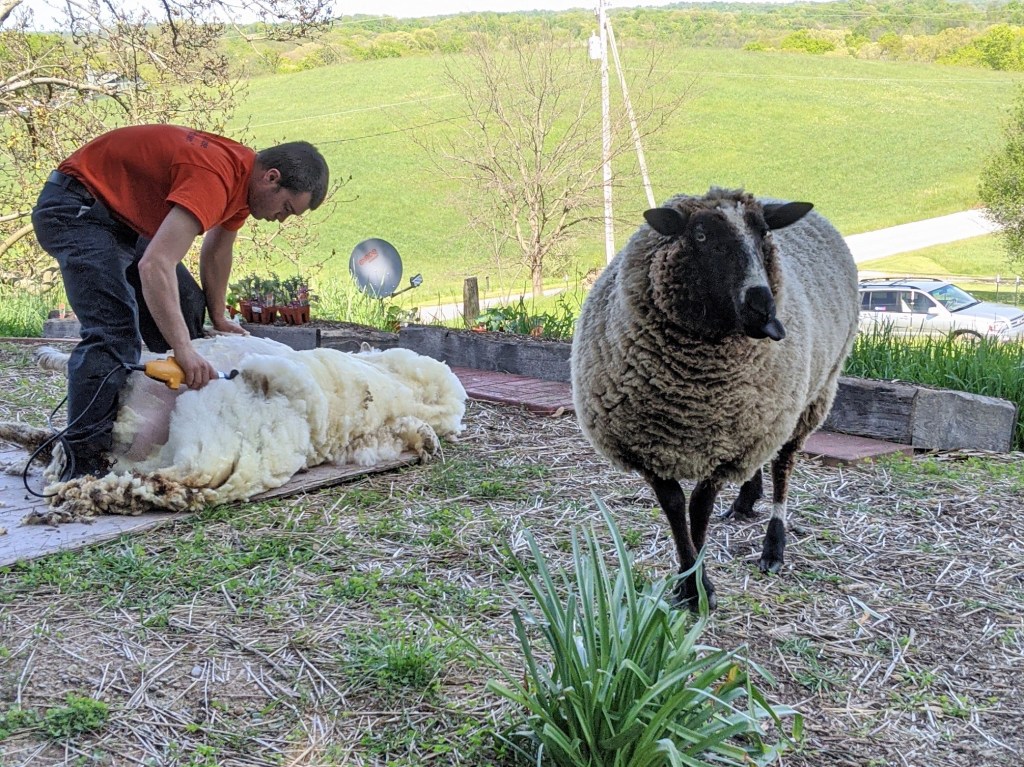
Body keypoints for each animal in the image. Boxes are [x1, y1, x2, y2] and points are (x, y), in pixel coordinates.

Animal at [571, 187, 859, 610]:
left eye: (763, 234)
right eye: (701, 236)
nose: (764, 308)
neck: (692, 394)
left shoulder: (726, 452)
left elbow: (699, 509)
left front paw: (698, 588)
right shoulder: (653, 447)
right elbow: (676, 509)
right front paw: (687, 583)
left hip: (811, 397)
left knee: (783, 465)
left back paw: (773, 547)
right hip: (759, 416)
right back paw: (745, 501)